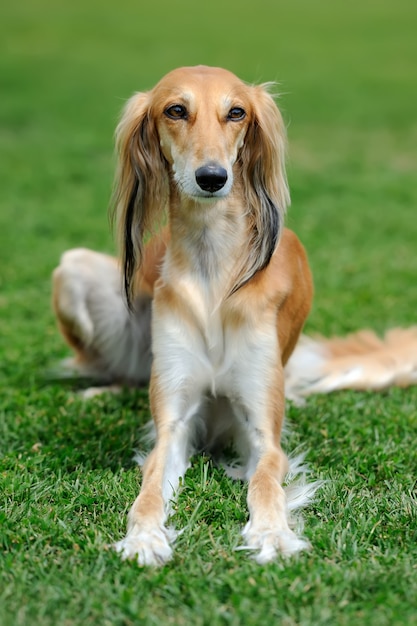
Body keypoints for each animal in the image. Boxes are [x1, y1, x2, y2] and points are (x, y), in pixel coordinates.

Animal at [52, 66, 416, 564]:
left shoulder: (260, 427)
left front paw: (271, 533)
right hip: (71, 271)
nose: (211, 177)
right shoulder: (175, 422)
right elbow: (149, 487)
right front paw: (144, 536)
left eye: (236, 112)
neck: (213, 266)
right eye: (176, 110)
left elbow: (264, 481)